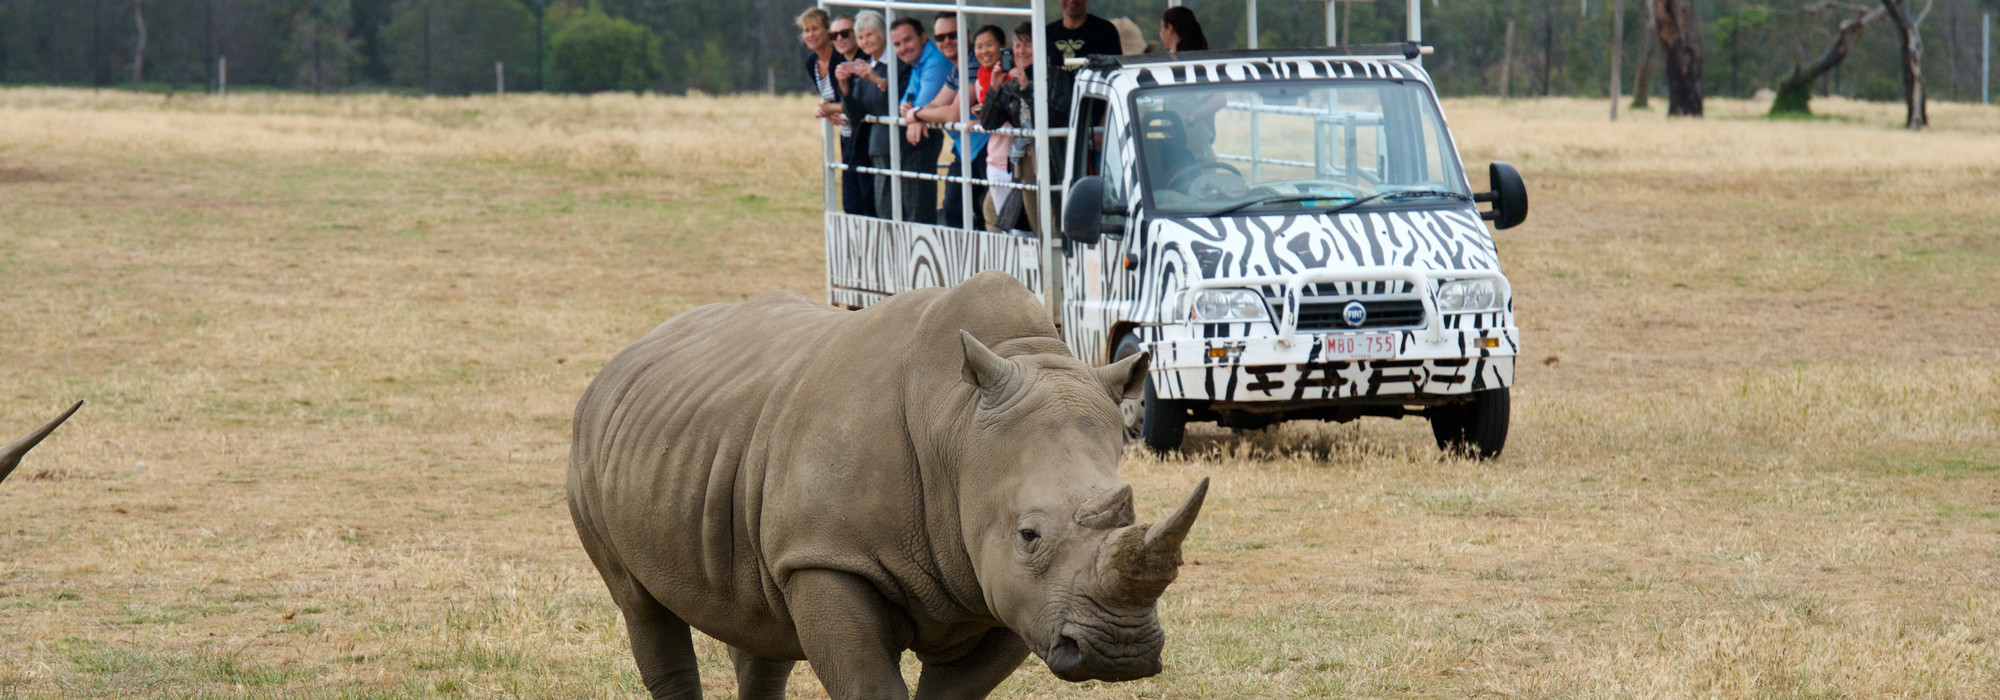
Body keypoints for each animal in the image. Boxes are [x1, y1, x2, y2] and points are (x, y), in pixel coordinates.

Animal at [568, 271, 1209, 699]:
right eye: (1029, 534)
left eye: (1132, 517)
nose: (1119, 650)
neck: (957, 430)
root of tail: (627, 355)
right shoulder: (826, 556)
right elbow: (869, 687)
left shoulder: (1014, 592)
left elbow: (952, 693)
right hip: (590, 443)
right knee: (641, 606)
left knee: (758, 622)